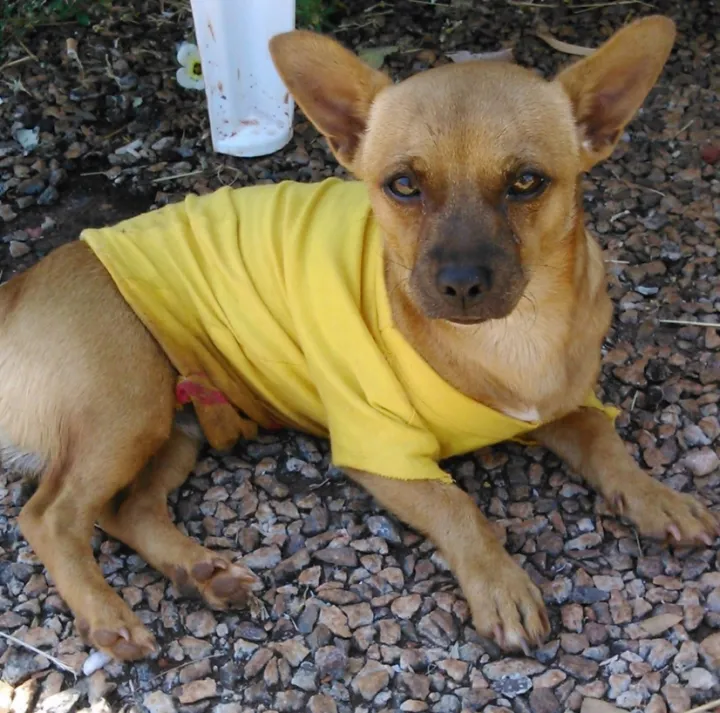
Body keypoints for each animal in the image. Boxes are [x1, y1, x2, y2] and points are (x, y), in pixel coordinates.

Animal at [2, 13, 716, 660]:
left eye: (526, 183)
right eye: (402, 185)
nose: (460, 284)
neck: (515, 338)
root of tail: (19, 285)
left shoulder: (568, 407)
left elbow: (608, 445)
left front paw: (658, 498)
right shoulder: (383, 454)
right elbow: (461, 508)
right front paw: (501, 586)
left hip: (174, 429)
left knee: (126, 511)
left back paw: (199, 571)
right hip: (130, 407)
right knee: (51, 515)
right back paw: (107, 616)